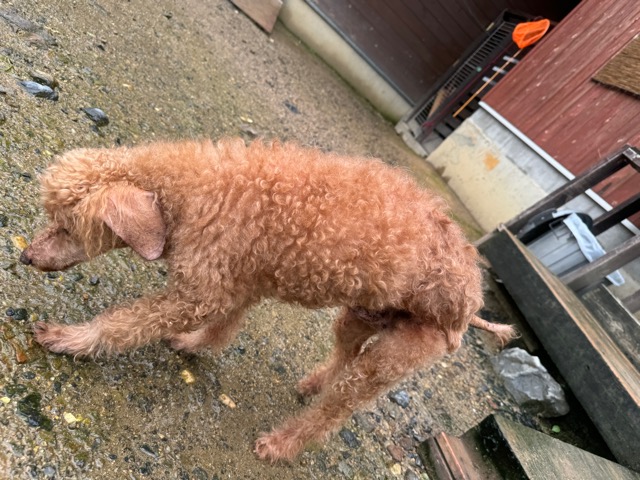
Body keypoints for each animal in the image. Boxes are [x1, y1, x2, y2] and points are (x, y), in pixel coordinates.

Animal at [20, 138, 515, 461]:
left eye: (68, 227)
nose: (25, 256)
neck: (185, 194)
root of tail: (471, 301)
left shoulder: (200, 292)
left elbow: (123, 324)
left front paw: (69, 339)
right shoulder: (237, 280)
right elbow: (223, 327)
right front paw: (193, 345)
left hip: (397, 355)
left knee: (336, 409)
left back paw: (282, 444)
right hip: (360, 316)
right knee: (344, 355)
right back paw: (313, 383)